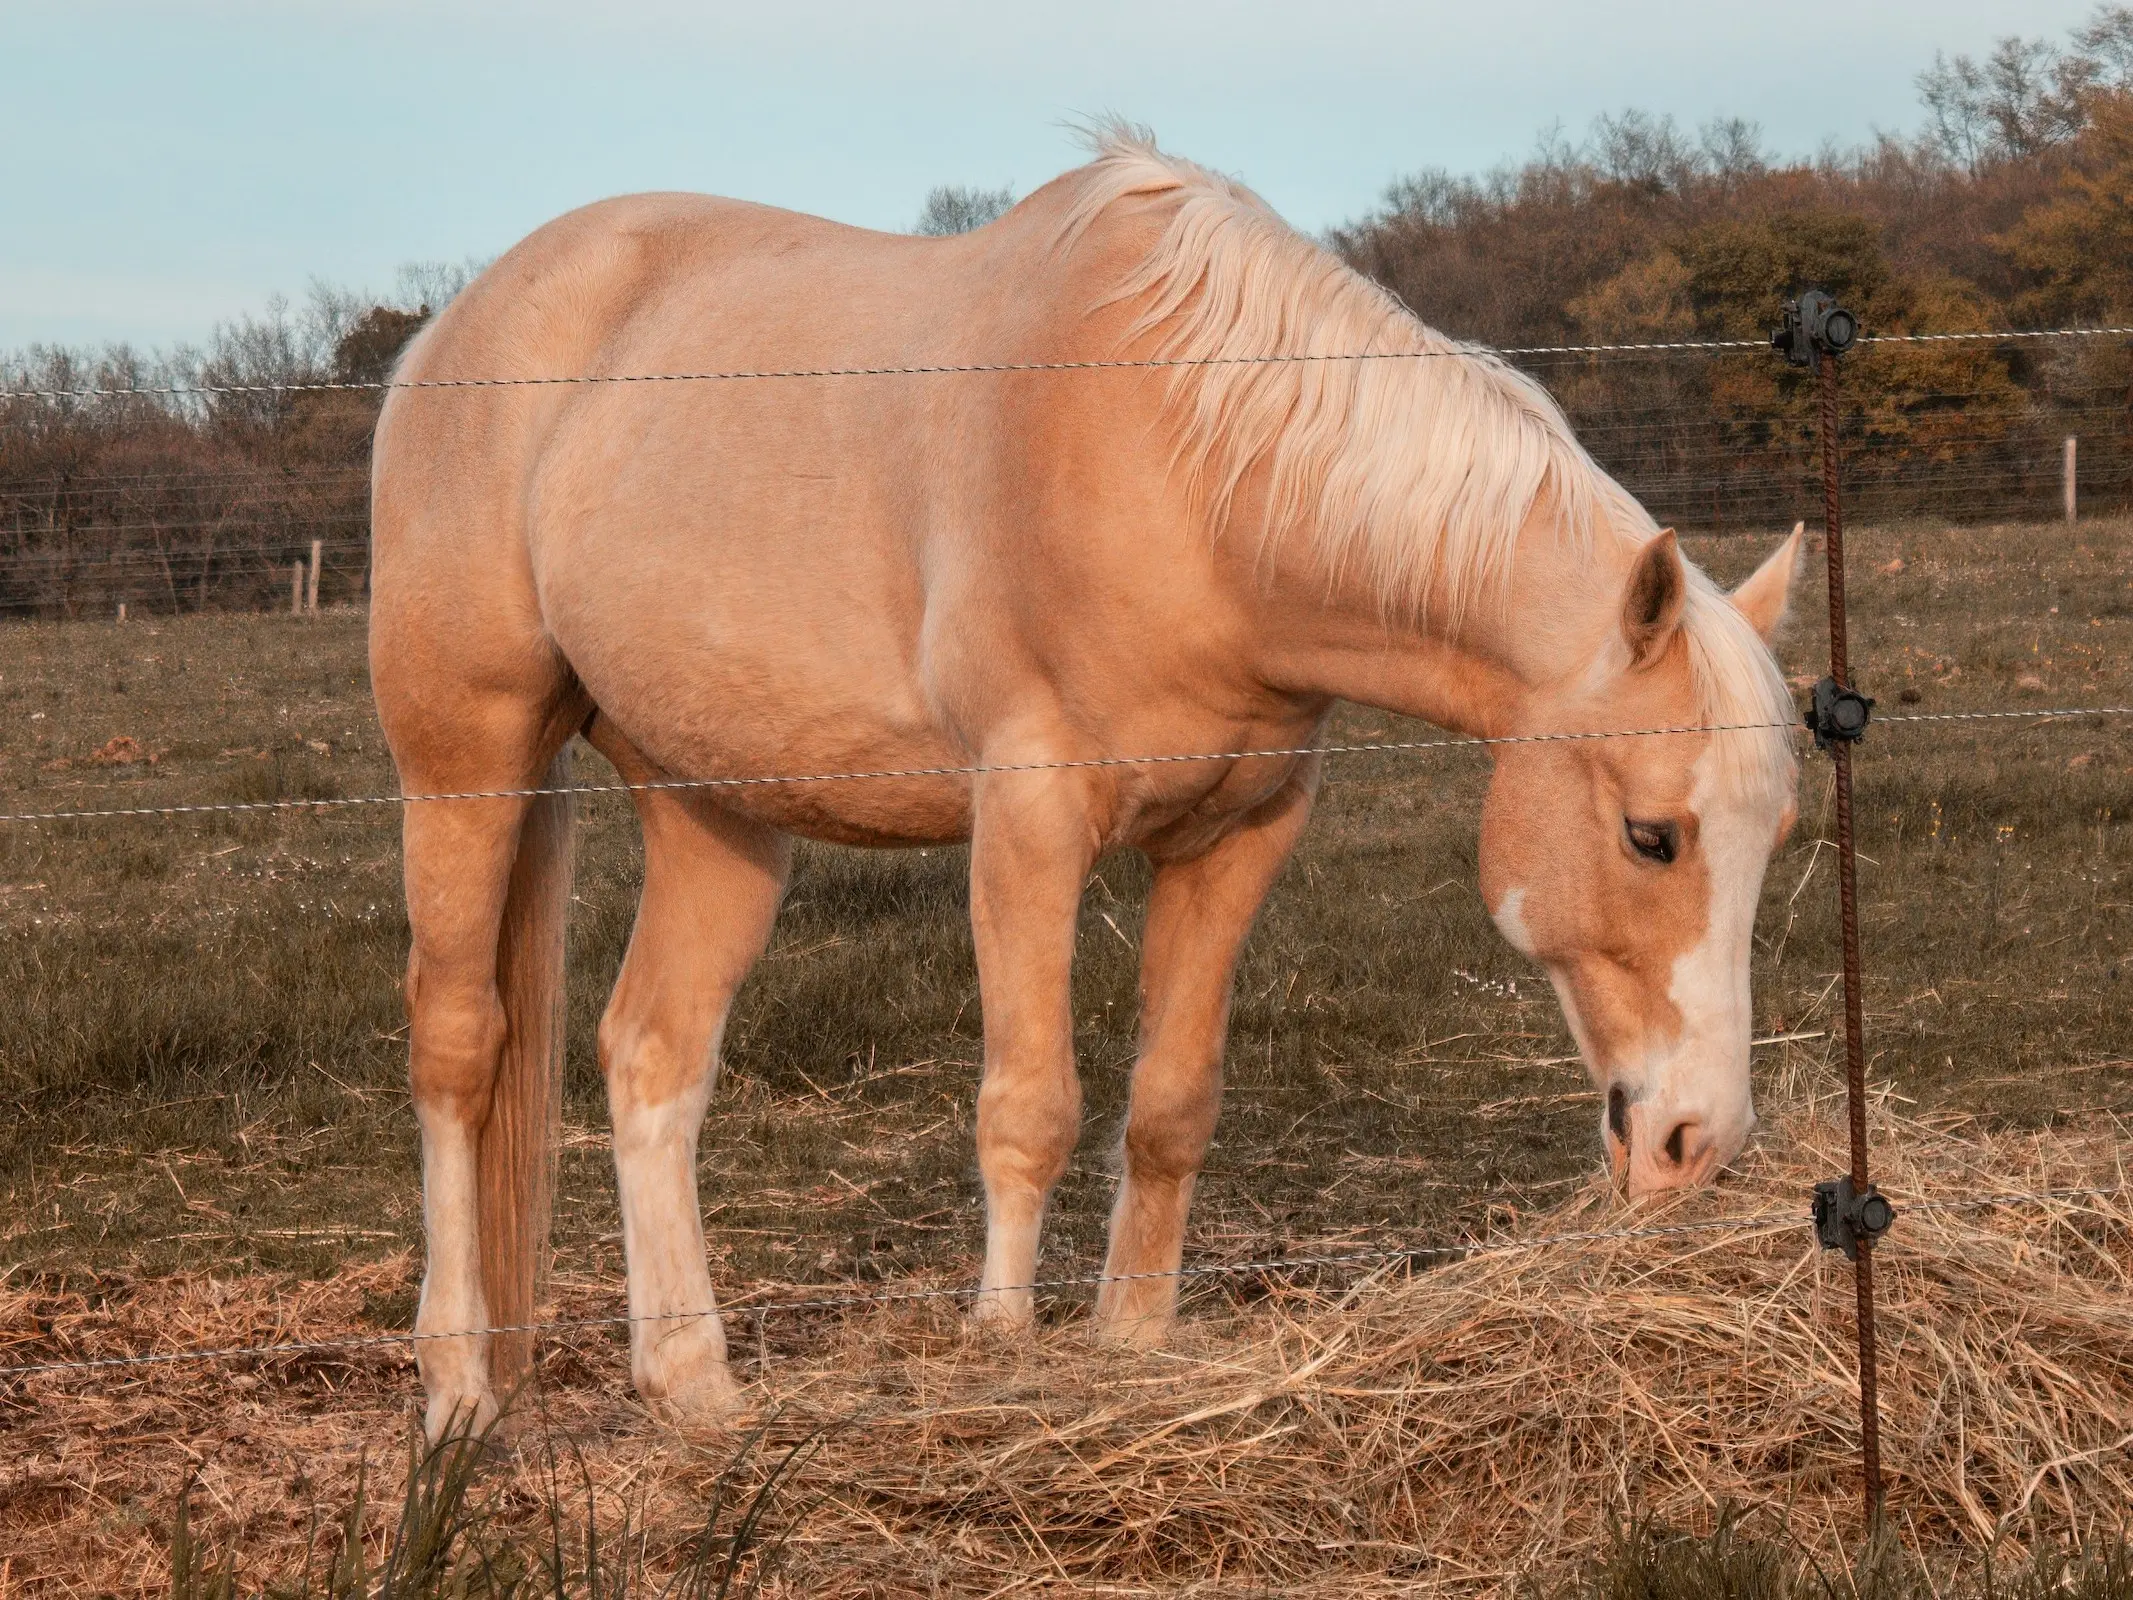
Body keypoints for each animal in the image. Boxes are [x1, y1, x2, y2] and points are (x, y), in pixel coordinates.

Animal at [366, 122, 1800, 1425]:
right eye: (1652, 836)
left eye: (1772, 841)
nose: (1698, 1145)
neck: (1188, 466)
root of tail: (452, 335)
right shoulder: (1030, 821)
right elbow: (1030, 1107)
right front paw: (1004, 1351)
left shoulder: (1239, 835)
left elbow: (1169, 1104)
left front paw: (1131, 1342)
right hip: (466, 761)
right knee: (458, 1048)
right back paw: (456, 1391)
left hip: (711, 809)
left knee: (653, 1057)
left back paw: (693, 1386)